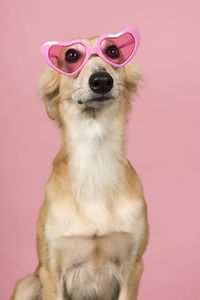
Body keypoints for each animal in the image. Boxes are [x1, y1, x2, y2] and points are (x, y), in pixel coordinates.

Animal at [10, 28, 148, 300]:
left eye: (113, 51)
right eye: (71, 55)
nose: (101, 80)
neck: (95, 156)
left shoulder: (133, 267)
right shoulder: (51, 272)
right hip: (28, 283)